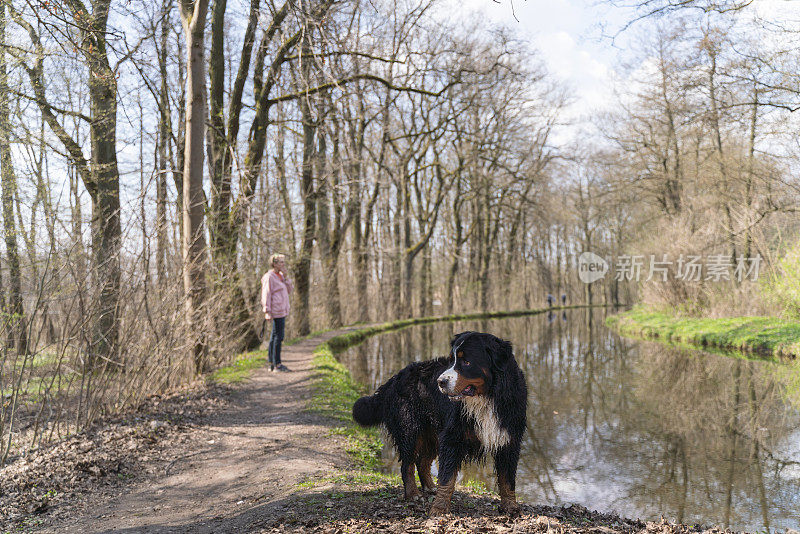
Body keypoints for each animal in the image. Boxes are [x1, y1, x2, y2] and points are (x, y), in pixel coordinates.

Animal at [350, 332, 524, 516]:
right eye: (451, 360)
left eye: (466, 362)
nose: (440, 381)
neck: (486, 398)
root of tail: (396, 377)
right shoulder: (452, 438)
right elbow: (447, 477)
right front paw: (439, 508)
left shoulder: (508, 440)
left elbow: (507, 479)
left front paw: (510, 506)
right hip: (409, 430)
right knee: (407, 466)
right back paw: (413, 494)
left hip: (432, 433)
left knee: (422, 462)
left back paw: (430, 487)